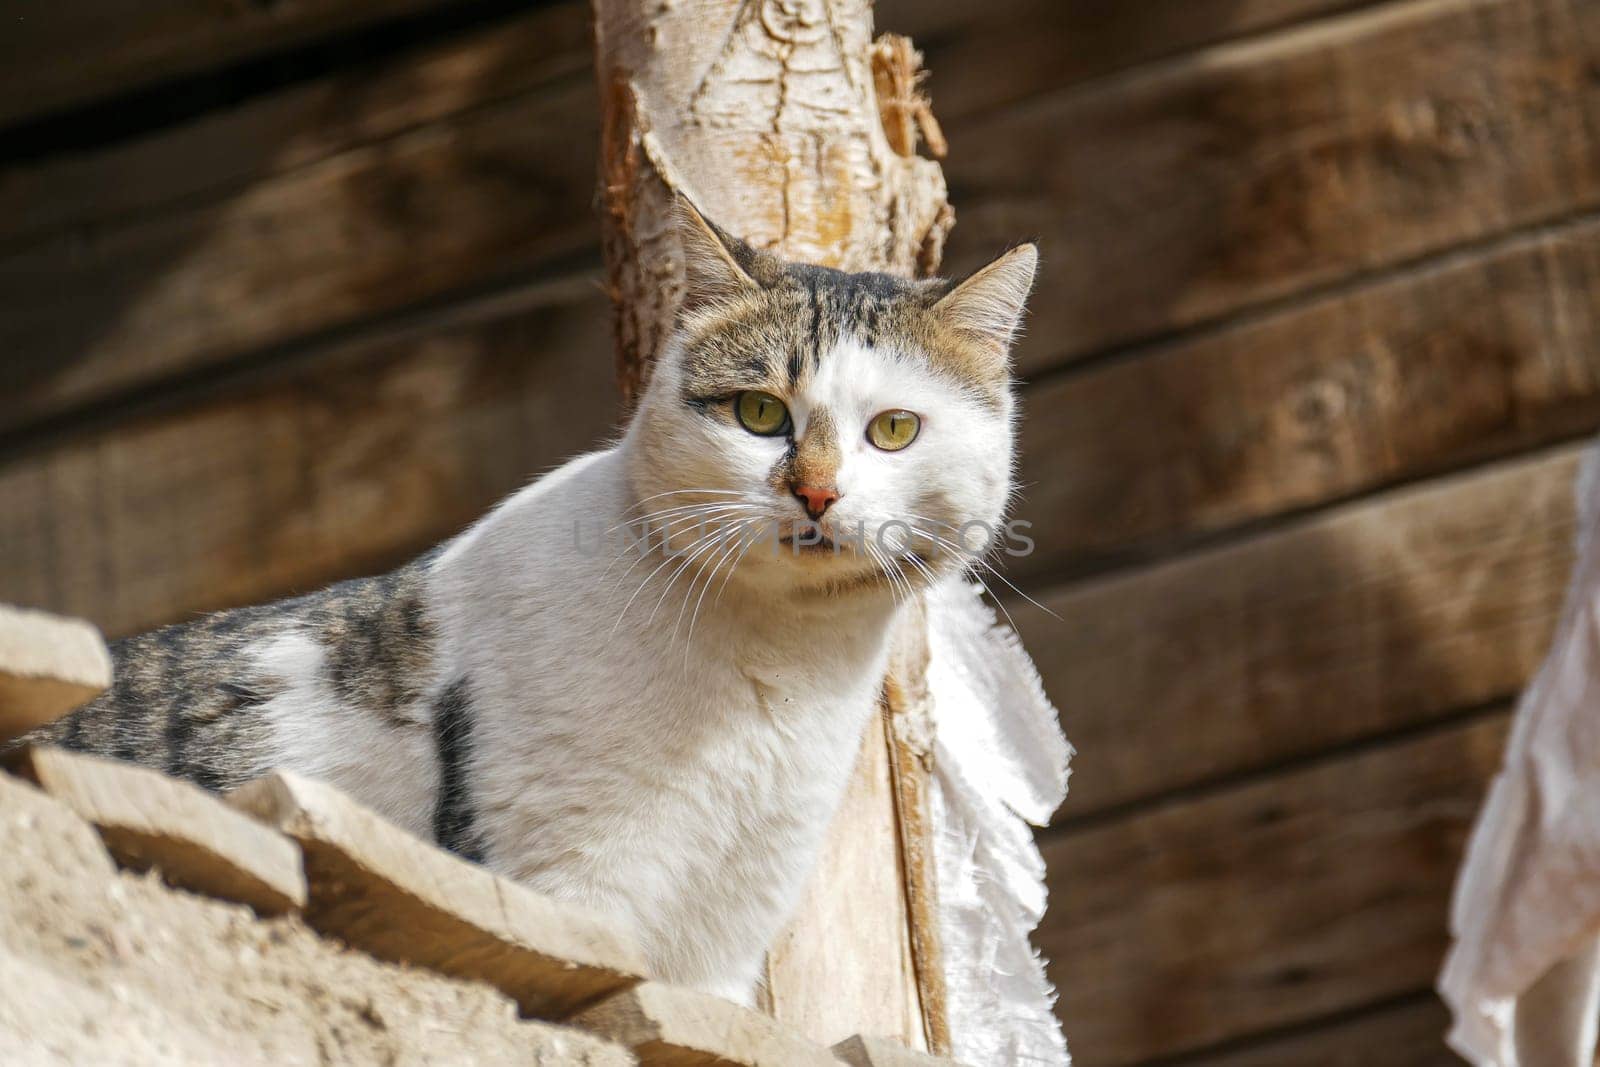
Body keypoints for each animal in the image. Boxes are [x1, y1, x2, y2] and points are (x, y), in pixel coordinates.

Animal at [18, 202, 1036, 1011]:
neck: (777, 667)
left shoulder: (726, 931)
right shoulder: (570, 881)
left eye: (894, 429)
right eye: (759, 414)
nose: (816, 492)